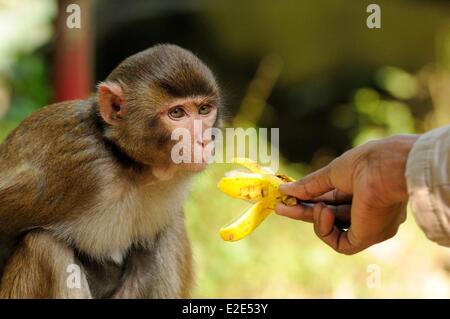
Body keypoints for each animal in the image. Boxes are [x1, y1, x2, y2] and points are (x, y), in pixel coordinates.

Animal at [0, 43, 220, 298]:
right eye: (177, 113)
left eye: (204, 110)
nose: (203, 140)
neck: (130, 167)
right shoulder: (82, 171)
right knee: (43, 246)